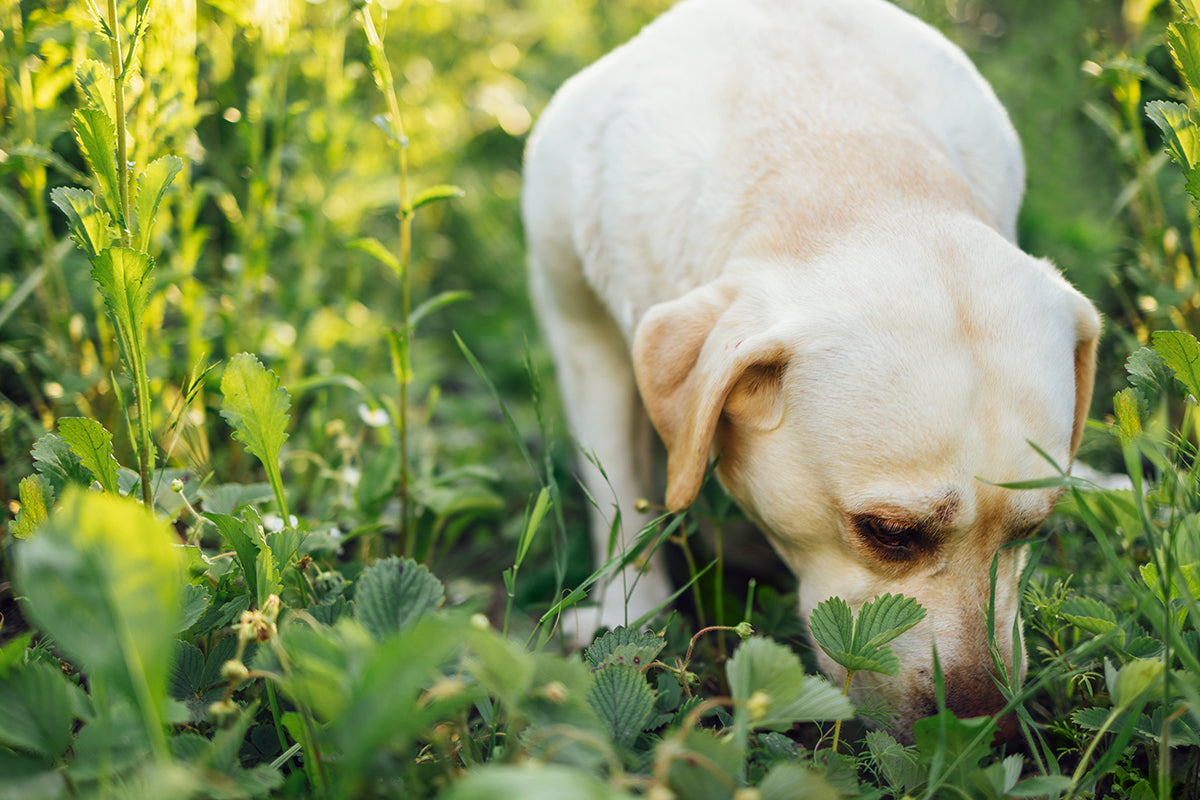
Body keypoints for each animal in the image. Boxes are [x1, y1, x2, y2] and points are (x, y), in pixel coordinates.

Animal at [520, 0, 1099, 743]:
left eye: (1034, 530)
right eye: (889, 532)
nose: (982, 732)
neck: (848, 164)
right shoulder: (575, 318)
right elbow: (622, 489)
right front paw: (630, 616)